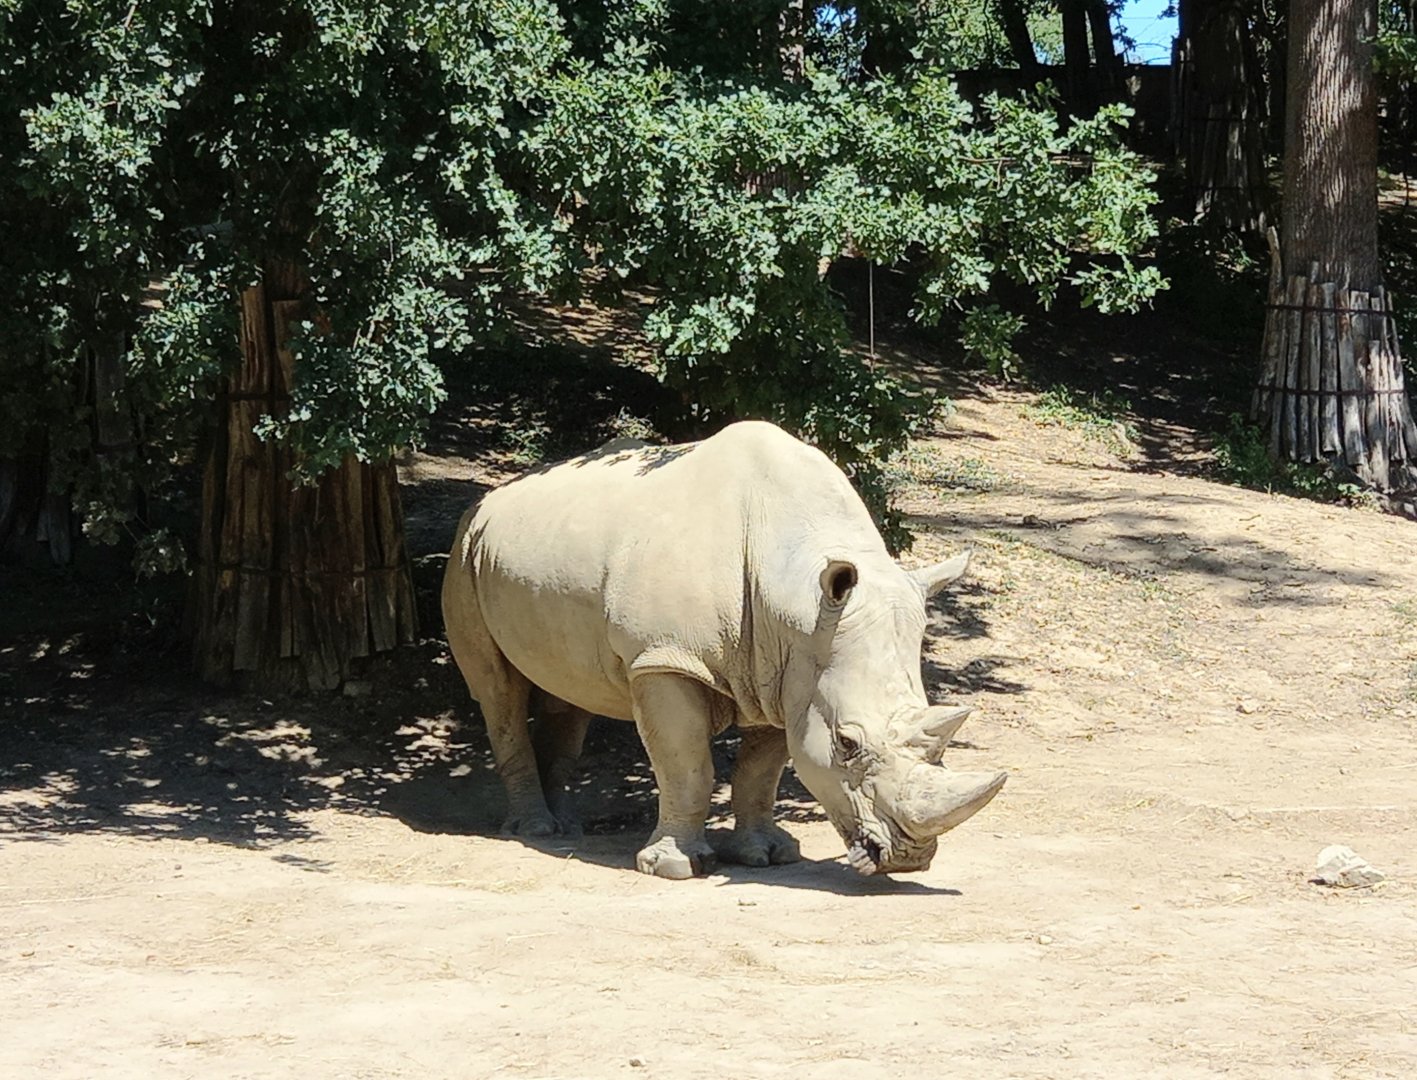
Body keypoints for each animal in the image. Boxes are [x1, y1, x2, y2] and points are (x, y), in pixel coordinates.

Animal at [442, 420, 1005, 879]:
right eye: (847, 744)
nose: (910, 858)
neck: (795, 598)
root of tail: (489, 497)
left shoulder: (788, 672)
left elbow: (761, 771)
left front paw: (768, 855)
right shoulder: (664, 658)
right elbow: (687, 765)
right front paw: (674, 867)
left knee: (568, 693)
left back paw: (567, 828)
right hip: (464, 551)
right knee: (497, 692)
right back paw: (534, 831)